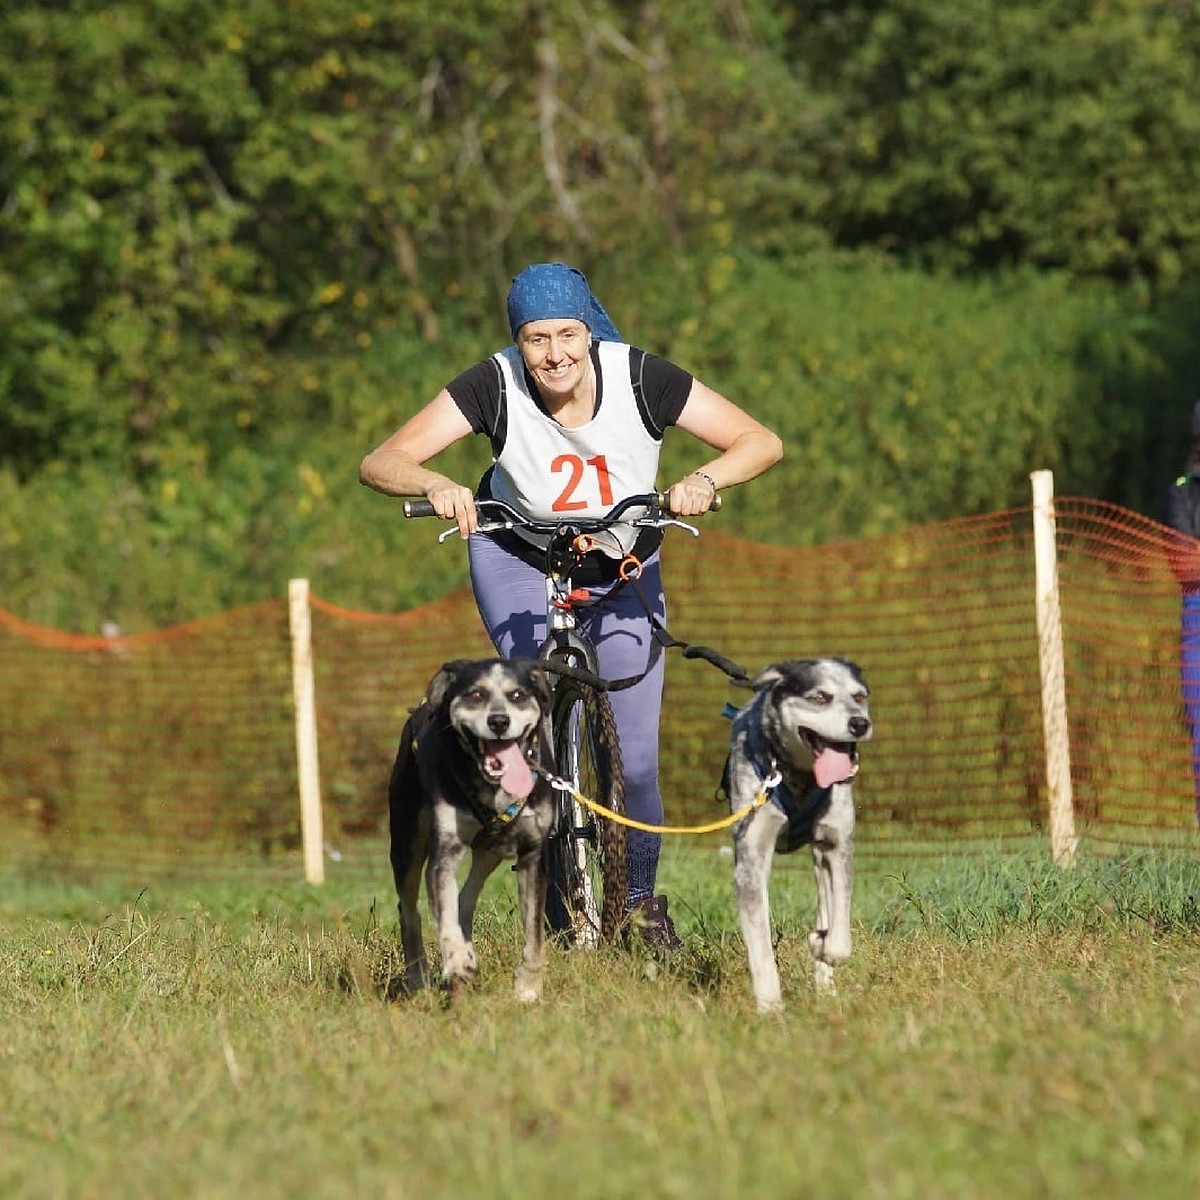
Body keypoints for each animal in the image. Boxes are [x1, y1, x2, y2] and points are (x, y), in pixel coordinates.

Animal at [388, 657, 556, 1003]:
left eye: (518, 695)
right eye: (476, 695)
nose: (499, 721)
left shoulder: (533, 854)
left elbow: (534, 932)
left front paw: (528, 988)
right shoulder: (445, 853)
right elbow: (445, 918)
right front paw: (456, 963)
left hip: (492, 849)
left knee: (466, 896)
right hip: (407, 844)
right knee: (409, 910)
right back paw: (419, 976)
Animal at [720, 657, 873, 1012]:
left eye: (859, 696)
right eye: (819, 697)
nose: (860, 723)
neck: (802, 780)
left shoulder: (837, 846)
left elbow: (839, 938)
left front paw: (820, 943)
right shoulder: (751, 860)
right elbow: (760, 947)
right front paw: (771, 1008)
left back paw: (826, 989)